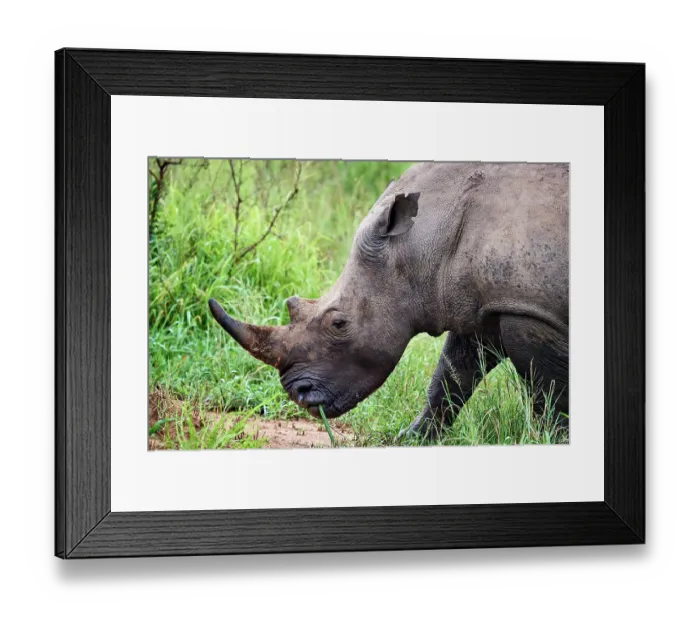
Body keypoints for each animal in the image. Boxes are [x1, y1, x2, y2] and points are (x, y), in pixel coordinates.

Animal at [209, 162, 569, 438]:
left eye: (338, 323)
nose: (298, 395)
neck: (425, 240)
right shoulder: (482, 303)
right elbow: (452, 376)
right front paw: (412, 438)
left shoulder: (528, 311)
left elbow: (550, 393)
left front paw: (552, 439)